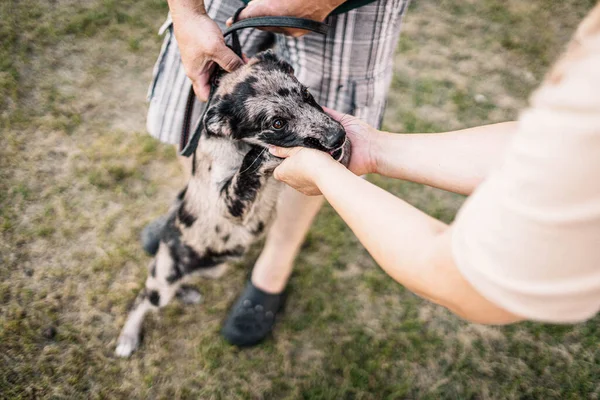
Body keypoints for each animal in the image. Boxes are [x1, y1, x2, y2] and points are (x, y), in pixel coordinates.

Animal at [116, 50, 352, 356]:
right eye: (277, 123)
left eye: (307, 94)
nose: (338, 136)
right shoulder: (227, 203)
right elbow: (249, 165)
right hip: (162, 282)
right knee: (142, 299)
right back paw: (128, 337)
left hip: (213, 269)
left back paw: (187, 293)